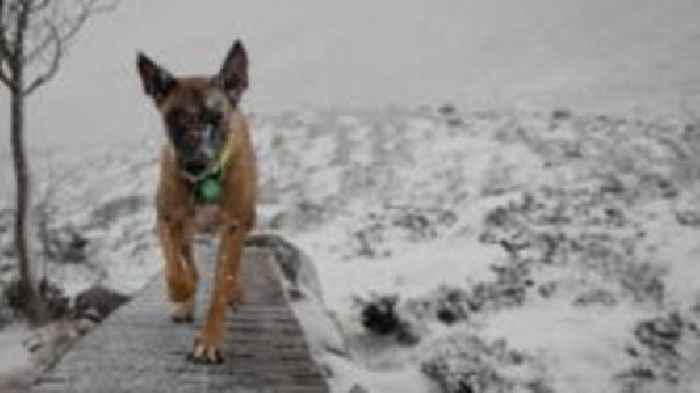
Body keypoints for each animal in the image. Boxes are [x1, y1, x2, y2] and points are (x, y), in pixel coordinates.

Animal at [137, 38, 258, 362]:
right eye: (172, 119)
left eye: (216, 117)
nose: (195, 163)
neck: (205, 182)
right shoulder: (166, 218)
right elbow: (175, 265)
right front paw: (181, 292)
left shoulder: (234, 225)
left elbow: (222, 282)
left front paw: (210, 339)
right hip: (186, 229)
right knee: (189, 260)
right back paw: (187, 301)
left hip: (248, 219)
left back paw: (236, 292)